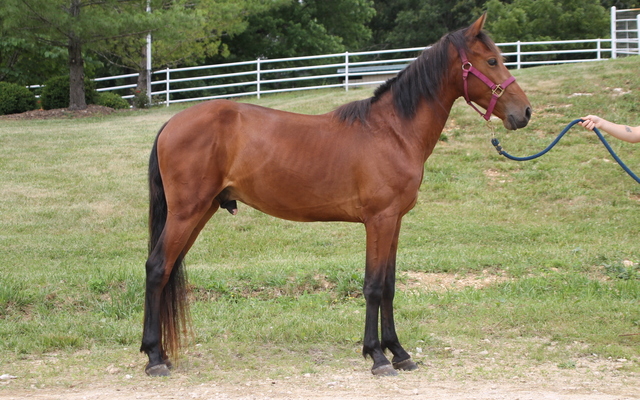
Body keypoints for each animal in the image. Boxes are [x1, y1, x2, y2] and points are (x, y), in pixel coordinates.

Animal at [140, 13, 532, 377]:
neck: (392, 131)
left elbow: (389, 286)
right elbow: (373, 286)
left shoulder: (395, 222)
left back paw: (160, 353)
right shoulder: (379, 220)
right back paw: (154, 358)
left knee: (168, 269)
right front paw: (377, 357)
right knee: (157, 268)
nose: (524, 112)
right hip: (186, 213)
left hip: (201, 211)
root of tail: (171, 124)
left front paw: (399, 352)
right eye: (492, 61)